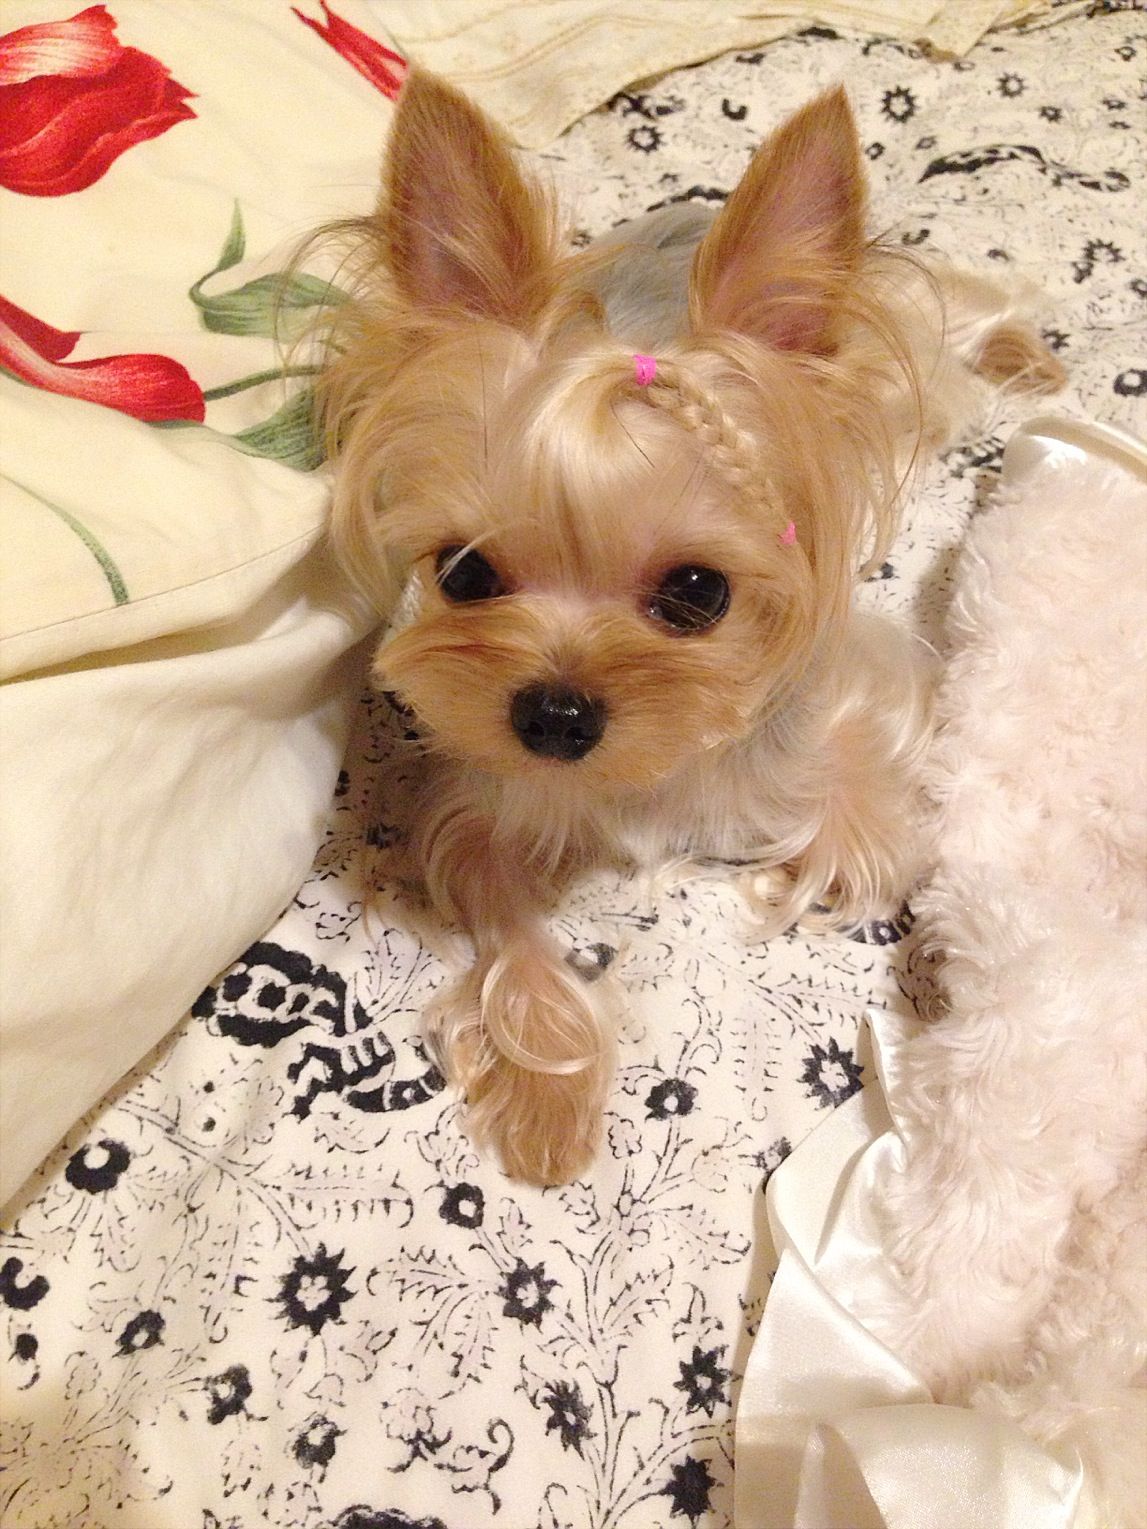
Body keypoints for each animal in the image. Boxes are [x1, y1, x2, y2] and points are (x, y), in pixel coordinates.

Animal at [311, 68, 1058, 1180]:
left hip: (899, 361)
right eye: (464, 571)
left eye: (697, 593)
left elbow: (870, 850)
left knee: (958, 323)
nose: (554, 717)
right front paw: (548, 1100)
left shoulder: (860, 701)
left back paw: (1023, 351)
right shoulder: (479, 797)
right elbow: (506, 922)